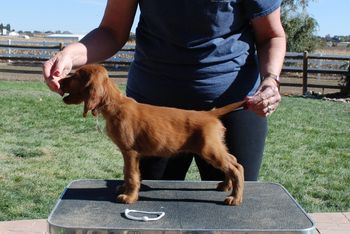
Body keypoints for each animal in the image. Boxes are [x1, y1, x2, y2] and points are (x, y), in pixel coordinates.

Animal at [60, 64, 245, 205]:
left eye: (75, 76)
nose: (59, 80)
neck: (115, 105)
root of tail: (209, 114)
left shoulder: (130, 152)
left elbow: (132, 175)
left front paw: (129, 197)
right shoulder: (128, 153)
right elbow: (126, 172)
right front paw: (124, 188)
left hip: (209, 150)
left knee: (236, 167)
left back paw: (235, 198)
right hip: (216, 147)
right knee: (233, 161)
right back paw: (226, 186)